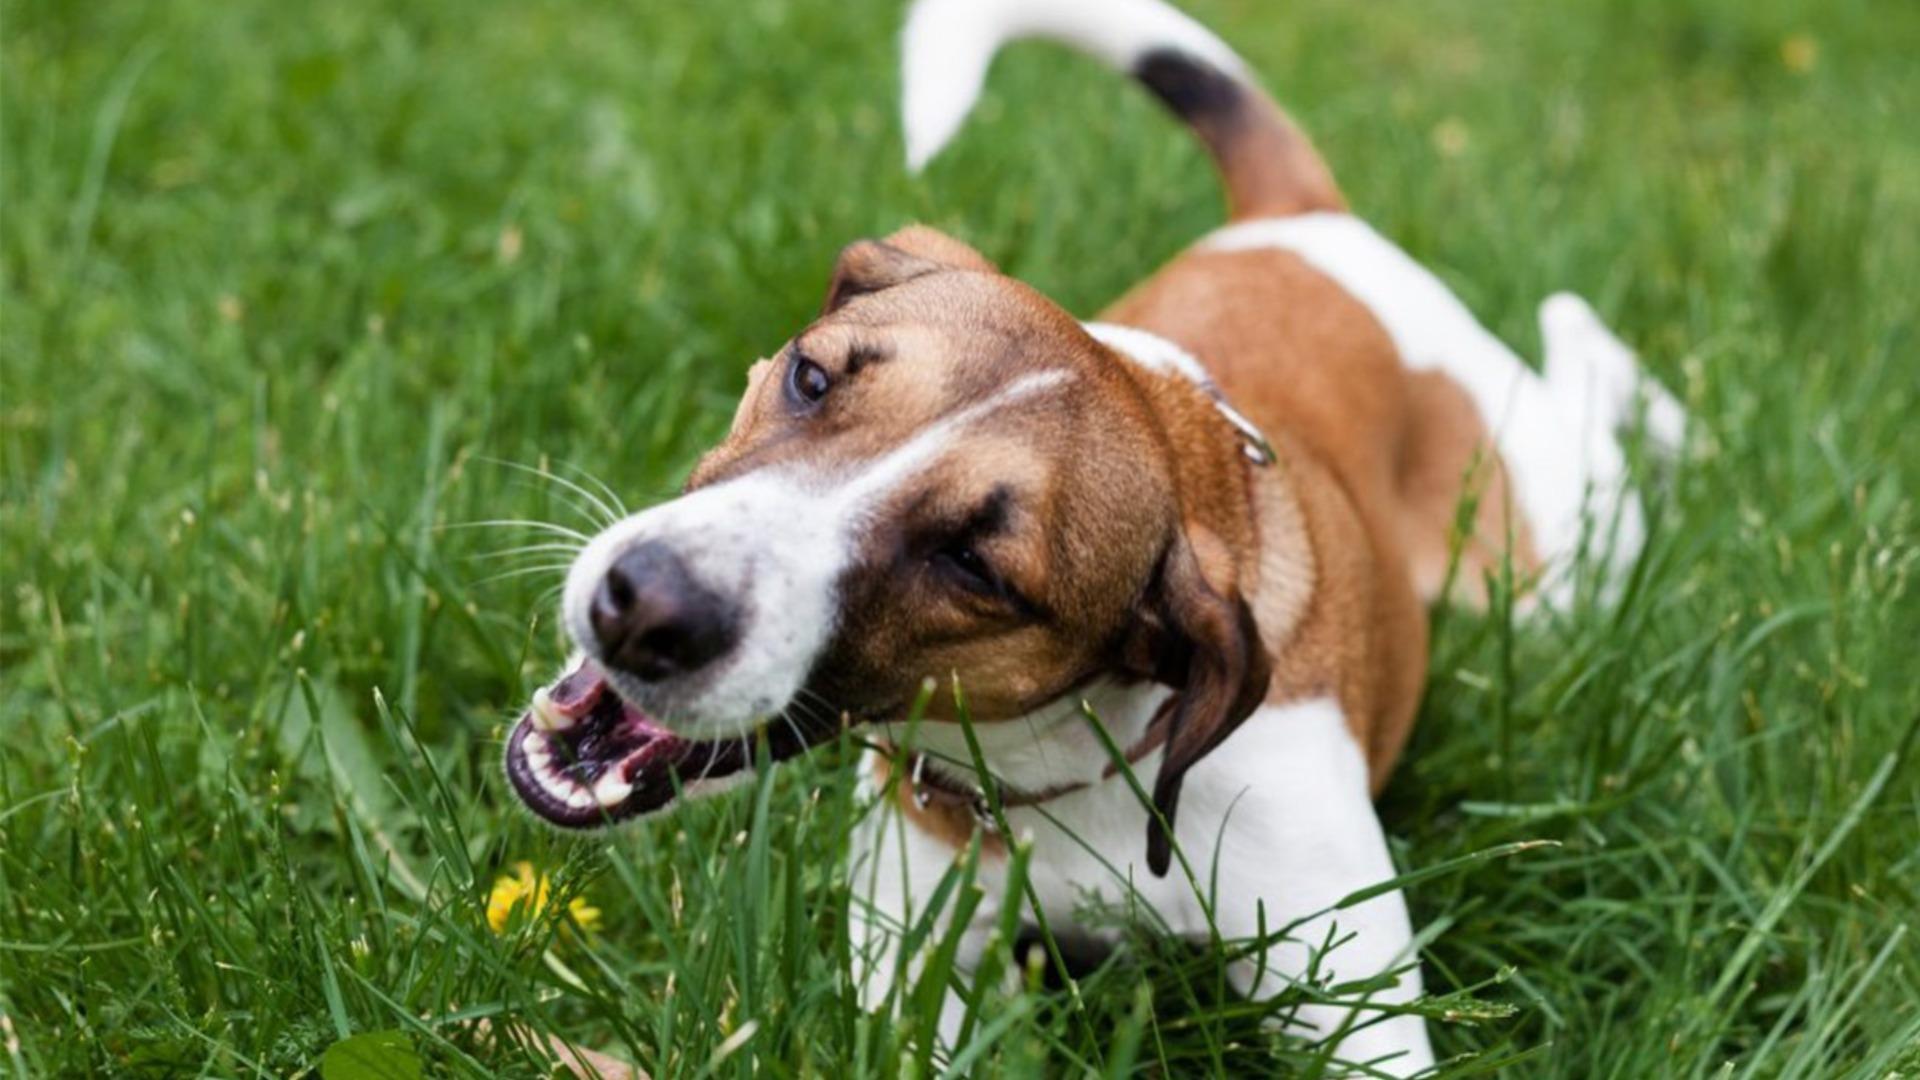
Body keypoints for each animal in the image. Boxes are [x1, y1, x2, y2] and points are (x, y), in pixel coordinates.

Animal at [503, 0, 1689, 1060]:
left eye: (974, 564)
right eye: (810, 376)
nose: (641, 605)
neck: (1079, 767)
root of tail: (1306, 223)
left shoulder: (1354, 999)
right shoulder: (910, 962)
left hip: (1554, 571)